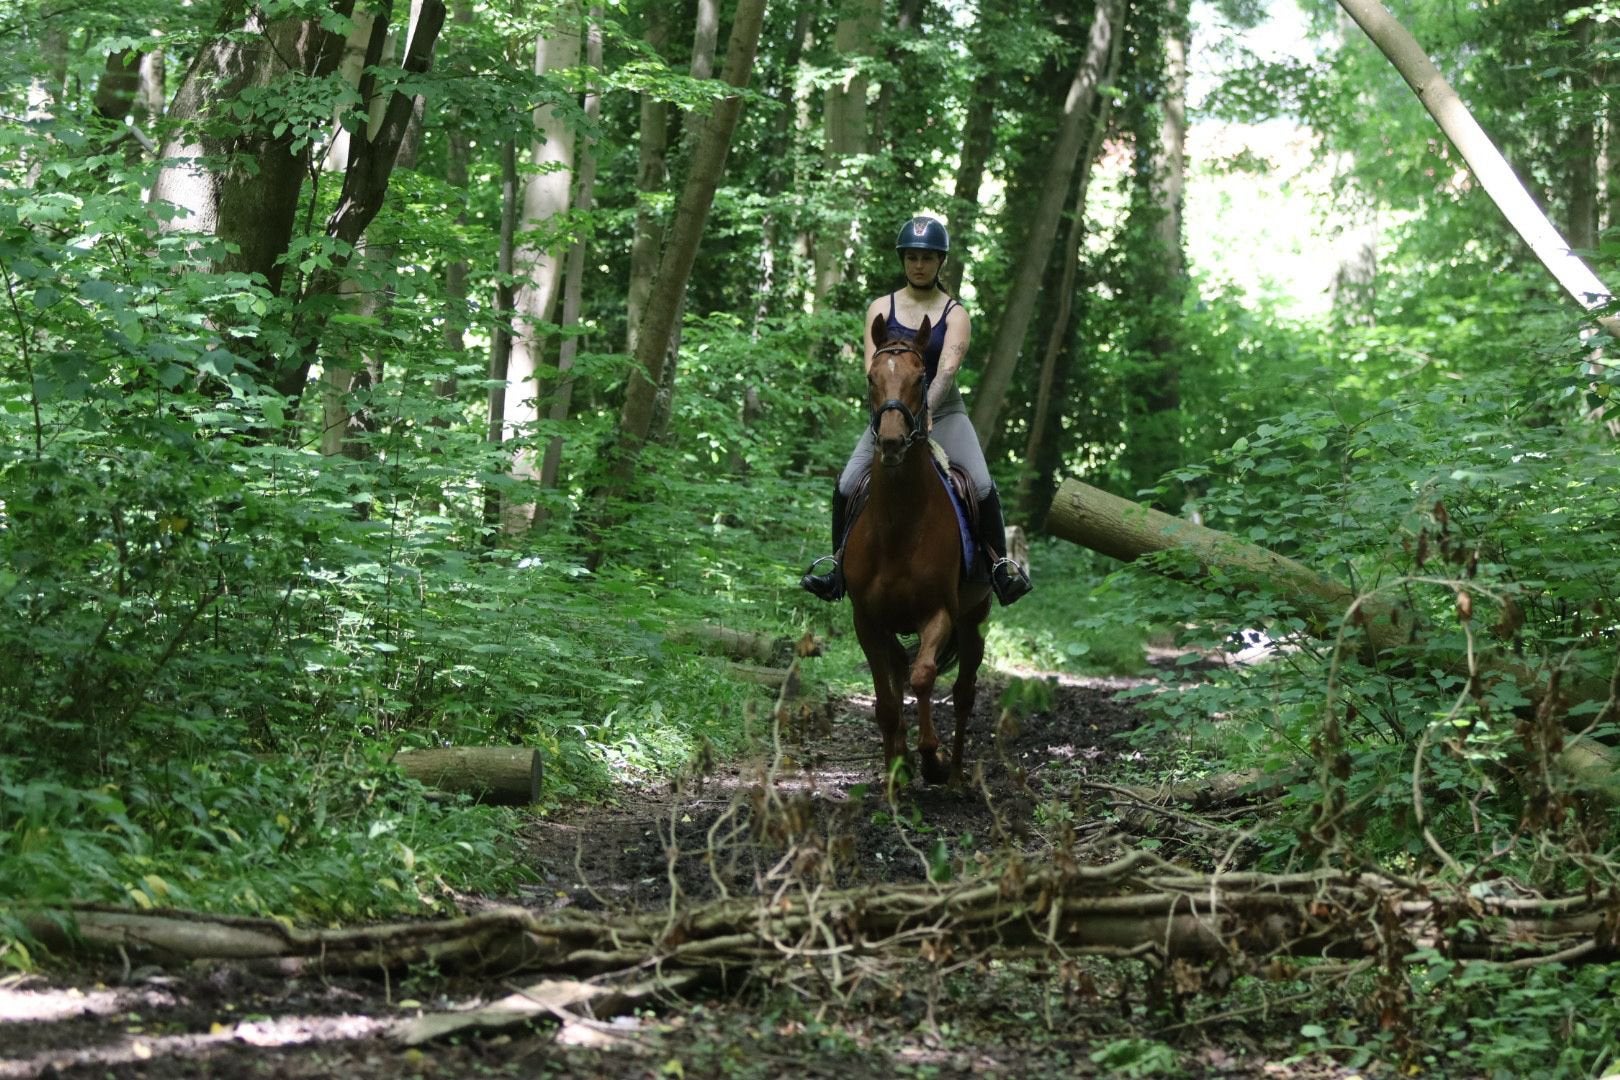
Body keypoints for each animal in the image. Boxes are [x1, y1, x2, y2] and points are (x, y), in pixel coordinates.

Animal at [842, 313, 992, 786]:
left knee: (963, 693)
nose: (891, 441)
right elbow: (888, 702)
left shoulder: (938, 612)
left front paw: (932, 758)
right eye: (872, 377)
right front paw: (898, 768)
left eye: (921, 376)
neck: (899, 526)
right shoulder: (867, 620)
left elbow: (923, 677)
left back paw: (957, 772)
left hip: (973, 620)